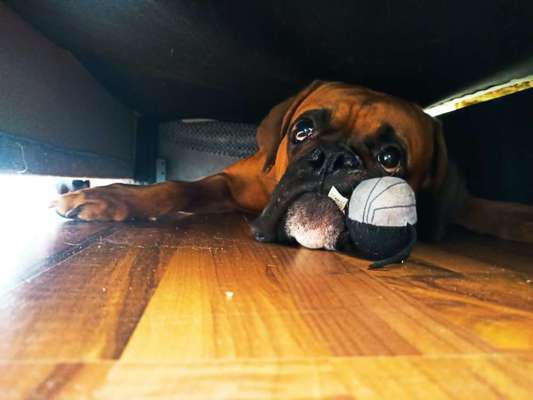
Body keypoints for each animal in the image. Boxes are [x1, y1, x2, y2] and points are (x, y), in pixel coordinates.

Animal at [53, 81, 532, 244]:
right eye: (302, 130)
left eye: (390, 157)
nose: (332, 159)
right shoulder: (227, 183)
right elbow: (179, 188)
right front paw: (114, 197)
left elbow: (484, 208)